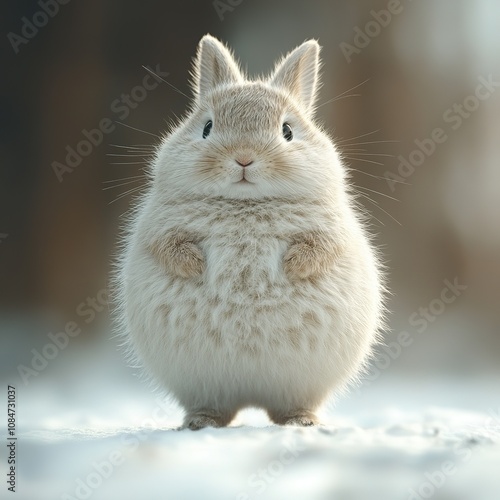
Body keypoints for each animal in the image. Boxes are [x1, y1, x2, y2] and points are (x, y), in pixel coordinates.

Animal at [115, 34, 384, 430]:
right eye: (207, 127)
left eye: (288, 130)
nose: (243, 157)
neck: (246, 203)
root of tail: (252, 398)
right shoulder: (159, 227)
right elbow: (170, 247)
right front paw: (195, 267)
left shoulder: (331, 231)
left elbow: (319, 249)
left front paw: (292, 267)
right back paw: (200, 423)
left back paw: (302, 422)